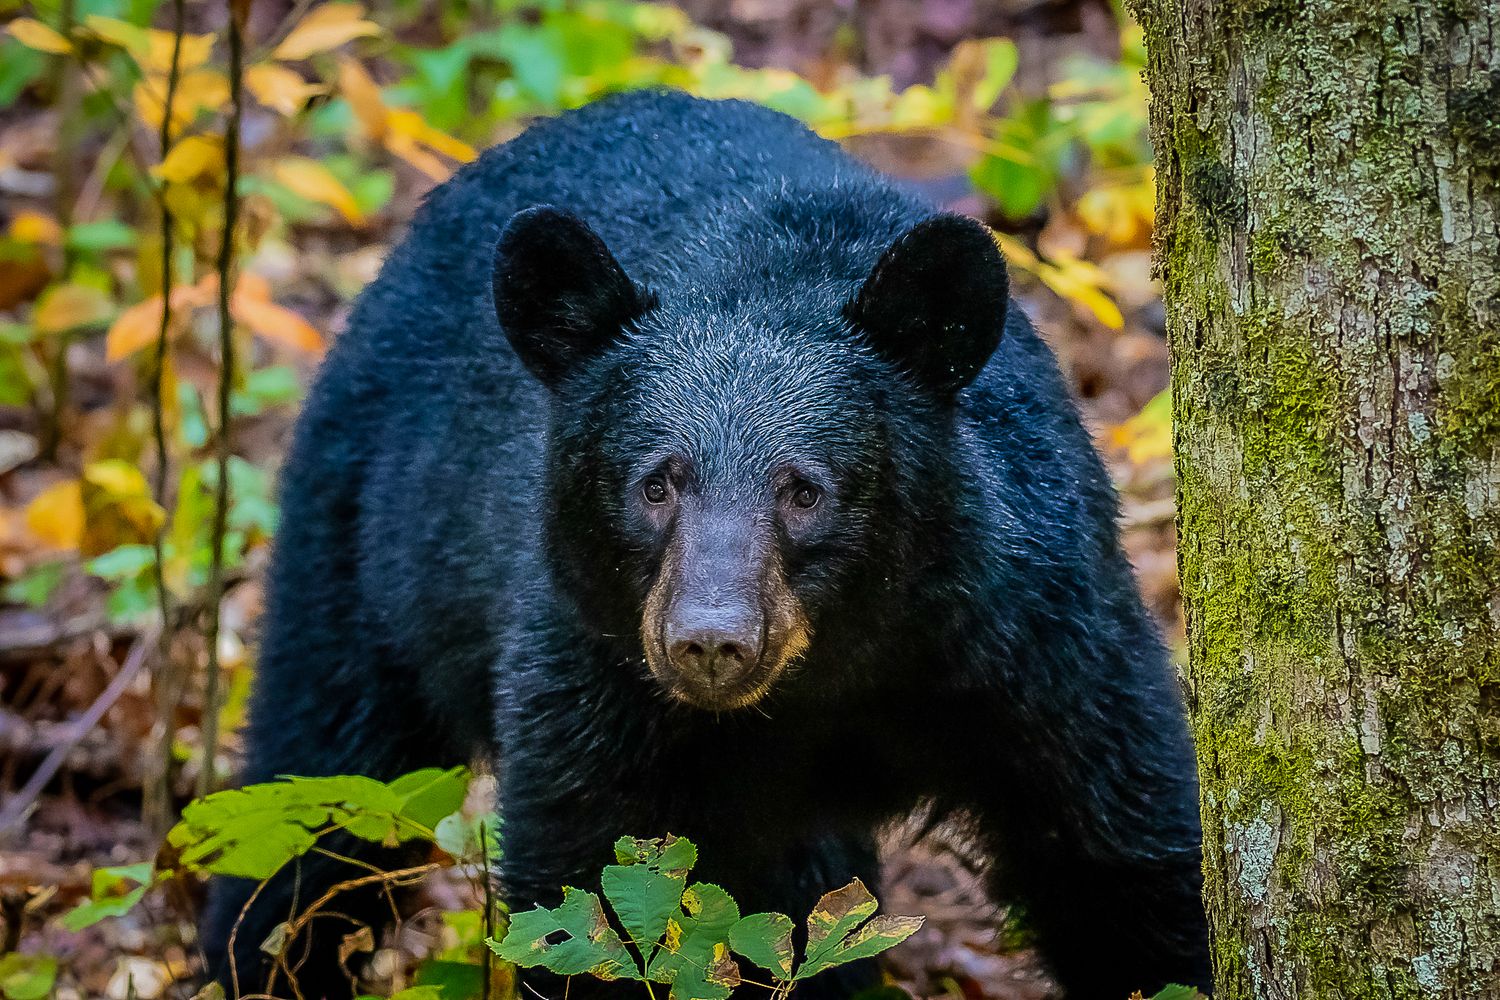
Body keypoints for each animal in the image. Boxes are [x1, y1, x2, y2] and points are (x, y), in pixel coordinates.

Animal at [203, 89, 1210, 1000]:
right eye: (656, 484)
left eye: (805, 490)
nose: (711, 641)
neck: (832, 680)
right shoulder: (593, 675)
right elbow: (587, 900)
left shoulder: (1035, 632)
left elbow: (1123, 849)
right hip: (364, 544)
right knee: (315, 790)